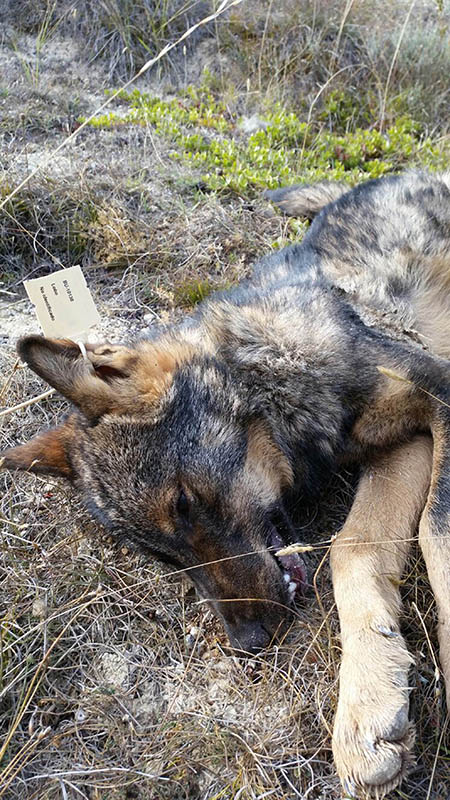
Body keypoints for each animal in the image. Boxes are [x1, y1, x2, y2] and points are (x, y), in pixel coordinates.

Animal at [3, 169, 450, 792]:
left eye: (184, 503)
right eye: (163, 557)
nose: (250, 645)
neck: (273, 370)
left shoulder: (437, 399)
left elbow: (438, 533)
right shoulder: (401, 442)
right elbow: (352, 548)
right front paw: (368, 708)